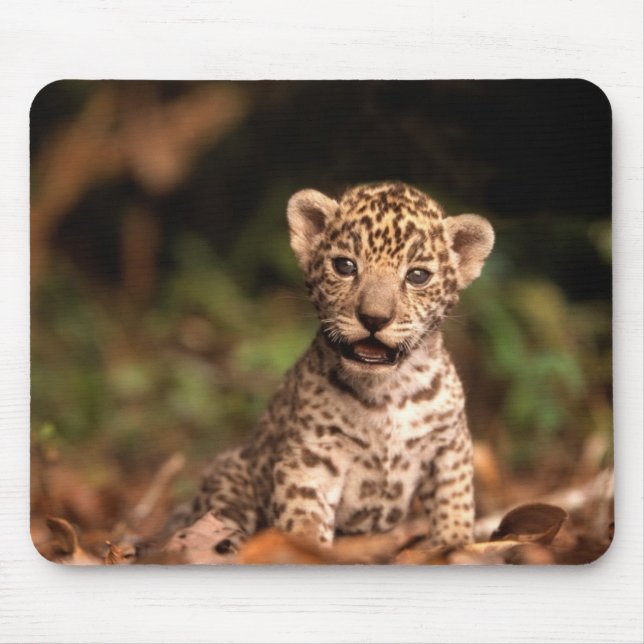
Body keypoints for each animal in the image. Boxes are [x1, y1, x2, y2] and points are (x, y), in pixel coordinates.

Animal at [172, 181, 494, 556]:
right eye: (345, 266)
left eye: (417, 276)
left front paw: (454, 545)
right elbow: (305, 515)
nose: (374, 318)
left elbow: (453, 501)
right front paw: (307, 552)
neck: (388, 391)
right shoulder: (313, 454)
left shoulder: (449, 446)